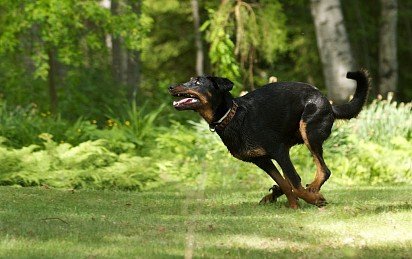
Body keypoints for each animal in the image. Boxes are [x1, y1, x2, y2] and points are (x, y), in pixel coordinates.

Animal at [169, 71, 368, 209]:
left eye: (197, 82)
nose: (171, 86)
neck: (231, 117)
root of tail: (328, 102)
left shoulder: (278, 151)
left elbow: (294, 182)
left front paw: (314, 200)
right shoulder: (261, 160)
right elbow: (285, 183)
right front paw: (293, 205)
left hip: (309, 131)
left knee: (323, 170)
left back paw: (312, 190)